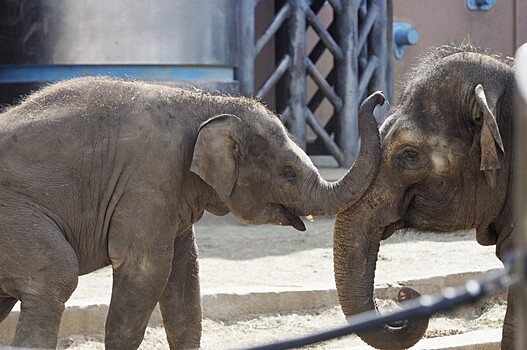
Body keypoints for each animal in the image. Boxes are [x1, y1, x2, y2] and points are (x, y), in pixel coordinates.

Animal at [0, 77, 384, 350]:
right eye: (288, 172)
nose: (379, 97)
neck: (204, 103)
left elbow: (185, 277)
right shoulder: (149, 182)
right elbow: (148, 268)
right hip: (13, 214)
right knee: (56, 275)